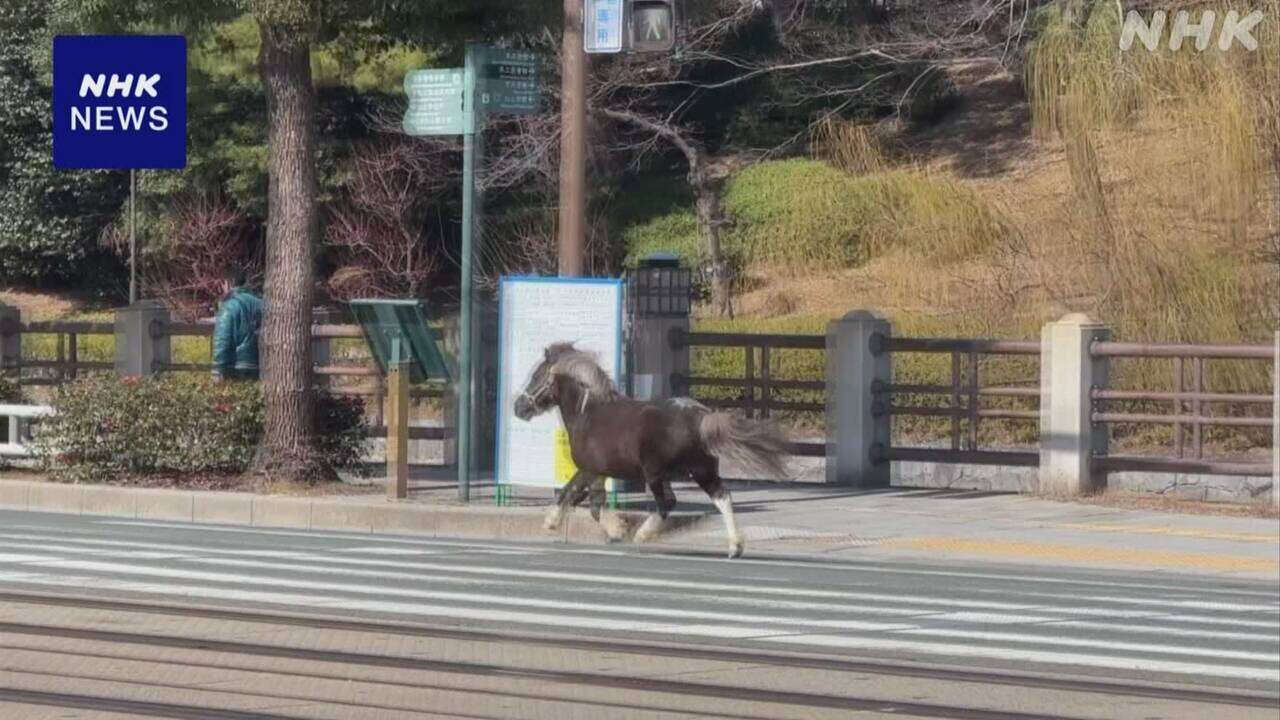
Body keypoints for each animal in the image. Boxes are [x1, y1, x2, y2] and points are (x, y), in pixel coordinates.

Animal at [512, 340, 788, 556]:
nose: (518, 408)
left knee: (667, 505)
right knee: (721, 498)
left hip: (658, 473)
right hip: (698, 471)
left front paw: (552, 522)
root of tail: (700, 416)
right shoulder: (598, 473)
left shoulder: (588, 468)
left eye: (536, 376)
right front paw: (615, 530)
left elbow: (569, 492)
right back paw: (735, 547)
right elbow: (592, 505)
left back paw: (642, 535)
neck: (588, 413)